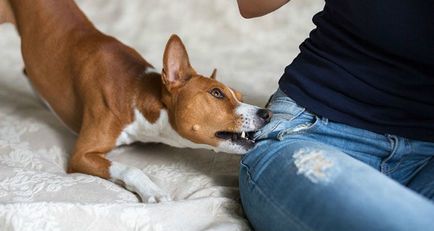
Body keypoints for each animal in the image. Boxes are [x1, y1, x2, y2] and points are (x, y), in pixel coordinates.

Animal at [0, 0, 272, 202]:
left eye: (239, 96)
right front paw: (154, 191)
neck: (135, 92)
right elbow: (130, 168)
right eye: (216, 93)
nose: (267, 114)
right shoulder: (81, 154)